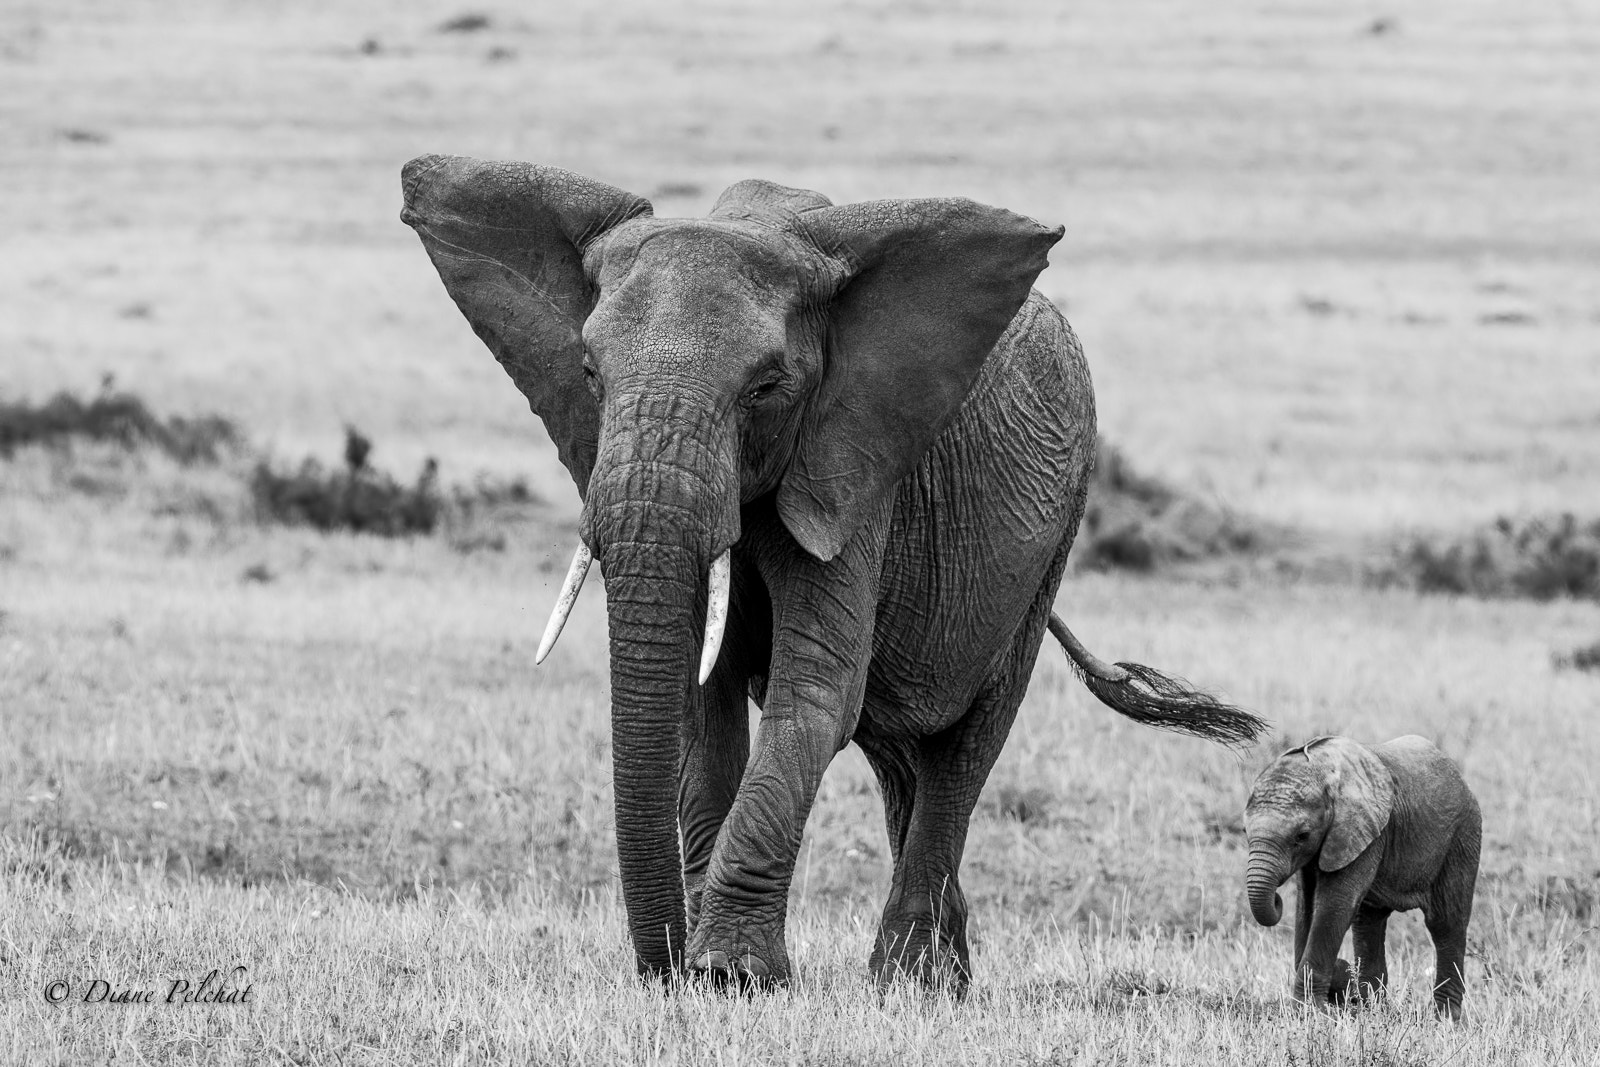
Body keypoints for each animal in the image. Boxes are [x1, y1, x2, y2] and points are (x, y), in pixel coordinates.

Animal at [396, 158, 1260, 991]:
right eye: (588, 373)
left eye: (766, 387)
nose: (660, 966)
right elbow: (700, 701)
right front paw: (705, 972)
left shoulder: (854, 469)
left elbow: (815, 691)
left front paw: (731, 973)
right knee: (901, 759)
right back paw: (947, 980)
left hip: (1055, 533)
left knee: (966, 747)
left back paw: (902, 983)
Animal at [1241, 735, 1478, 1017]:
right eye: (1244, 831)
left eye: (1302, 836)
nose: (1277, 900)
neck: (1324, 769)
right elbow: (1305, 906)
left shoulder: (1365, 831)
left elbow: (1335, 904)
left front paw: (1310, 1011)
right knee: (1369, 922)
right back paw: (1373, 1009)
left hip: (1462, 837)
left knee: (1446, 923)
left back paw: (1444, 1019)